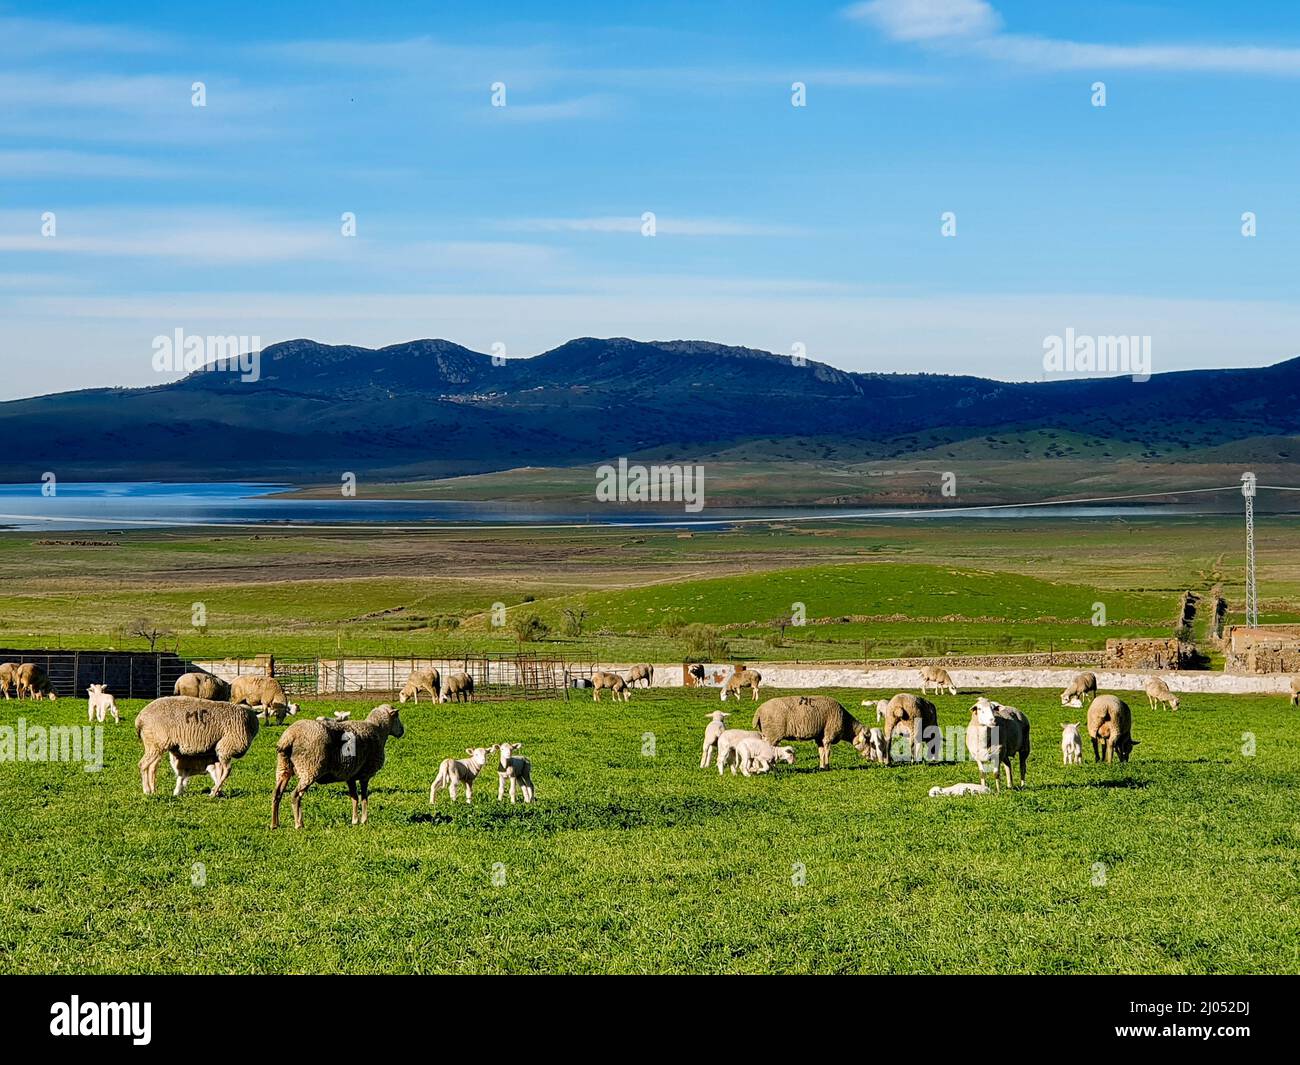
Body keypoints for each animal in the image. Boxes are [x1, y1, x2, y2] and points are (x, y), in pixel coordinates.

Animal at [272, 704, 405, 829]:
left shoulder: (351, 775)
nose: (402, 731)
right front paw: (364, 820)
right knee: (295, 795)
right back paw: (299, 824)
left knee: (277, 794)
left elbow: (354, 797)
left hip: (284, 767)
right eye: (397, 716)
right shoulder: (365, 774)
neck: (378, 730)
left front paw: (354, 821)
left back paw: (275, 824)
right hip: (310, 767)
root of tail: (289, 737)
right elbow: (364, 797)